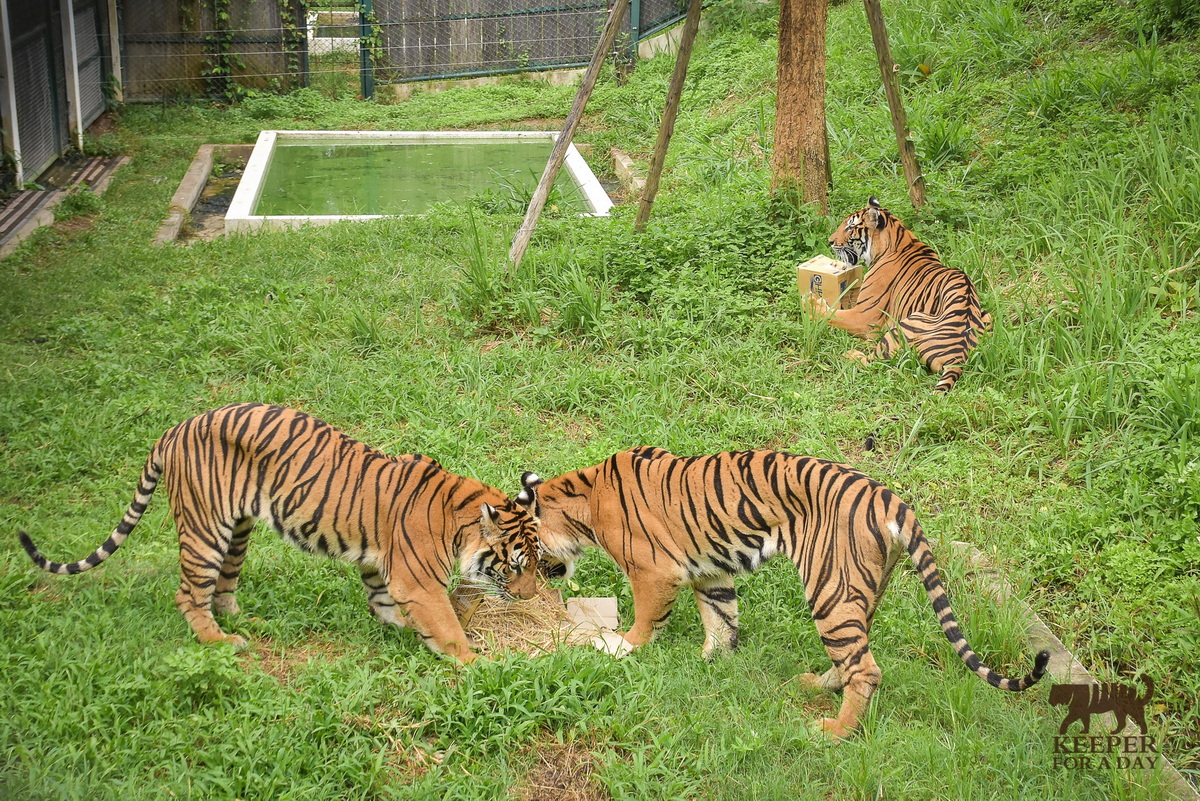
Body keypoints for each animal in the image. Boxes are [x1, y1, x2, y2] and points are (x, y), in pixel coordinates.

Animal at [17, 400, 540, 661]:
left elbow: (384, 605)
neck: (460, 516)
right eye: (516, 566)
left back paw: (247, 622)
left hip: (238, 531)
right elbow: (446, 628)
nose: (533, 598)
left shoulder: (381, 567)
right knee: (189, 593)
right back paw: (221, 643)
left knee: (222, 587)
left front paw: (402, 632)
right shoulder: (418, 583)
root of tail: (175, 428)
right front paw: (476, 664)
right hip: (205, 531)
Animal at [520, 448, 1046, 733]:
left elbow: (645, 621)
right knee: (854, 656)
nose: (532, 584)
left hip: (830, 587)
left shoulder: (654, 573)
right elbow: (721, 619)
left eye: (525, 550)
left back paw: (834, 733)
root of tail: (889, 496)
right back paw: (816, 686)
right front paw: (713, 663)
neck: (583, 501)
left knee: (866, 668)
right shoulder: (710, 573)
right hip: (865, 590)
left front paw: (619, 648)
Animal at [806, 196, 993, 390]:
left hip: (904, 327)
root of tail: (959, 357)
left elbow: (832, 315)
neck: (898, 239)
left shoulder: (864, 316)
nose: (830, 241)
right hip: (986, 316)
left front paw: (810, 302)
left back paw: (850, 354)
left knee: (874, 361)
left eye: (850, 227)